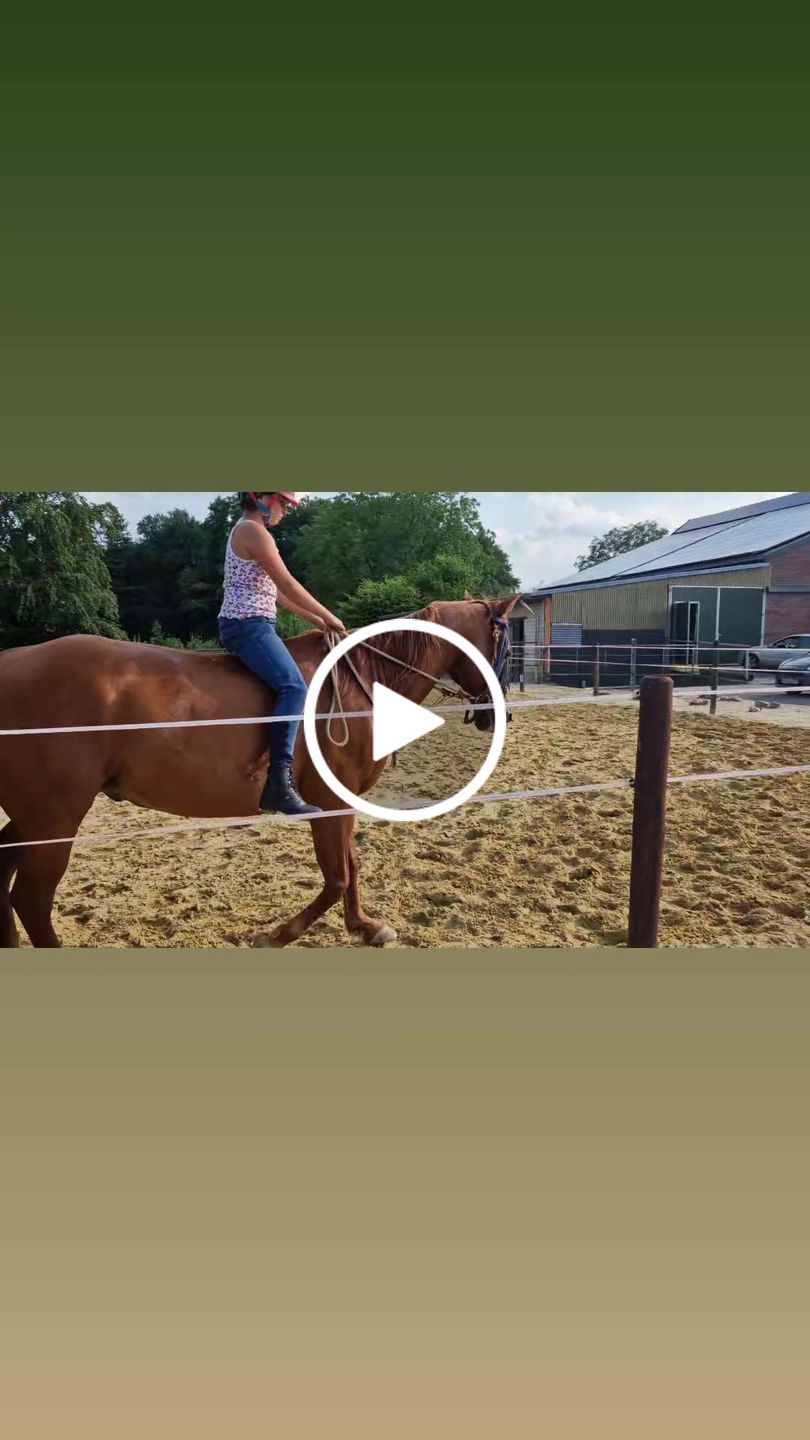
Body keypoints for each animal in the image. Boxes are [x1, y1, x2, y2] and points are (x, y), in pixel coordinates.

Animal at [0, 596, 517, 948]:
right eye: (504, 643)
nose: (499, 715)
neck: (361, 681)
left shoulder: (341, 803)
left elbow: (351, 866)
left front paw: (365, 927)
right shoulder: (329, 804)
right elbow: (337, 876)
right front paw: (279, 934)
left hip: (34, 816)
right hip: (55, 818)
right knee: (31, 898)